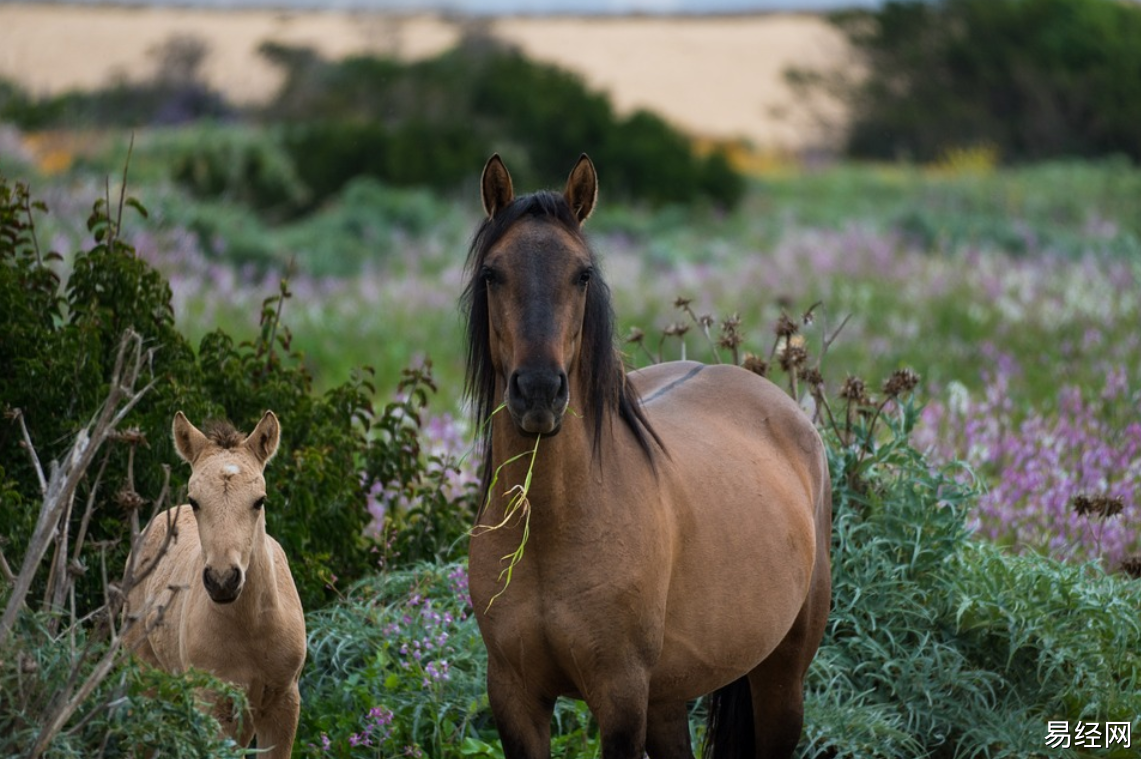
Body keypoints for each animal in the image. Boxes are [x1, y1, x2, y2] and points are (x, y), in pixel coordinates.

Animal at [125, 410, 308, 753]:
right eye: (195, 500)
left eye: (260, 500)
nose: (223, 580)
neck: (252, 628)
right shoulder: (213, 703)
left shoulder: (284, 703)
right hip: (144, 675)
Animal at [460, 155, 830, 757]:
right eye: (493, 273)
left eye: (583, 274)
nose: (538, 391)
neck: (552, 531)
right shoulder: (514, 697)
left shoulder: (621, 698)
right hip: (668, 697)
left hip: (781, 678)